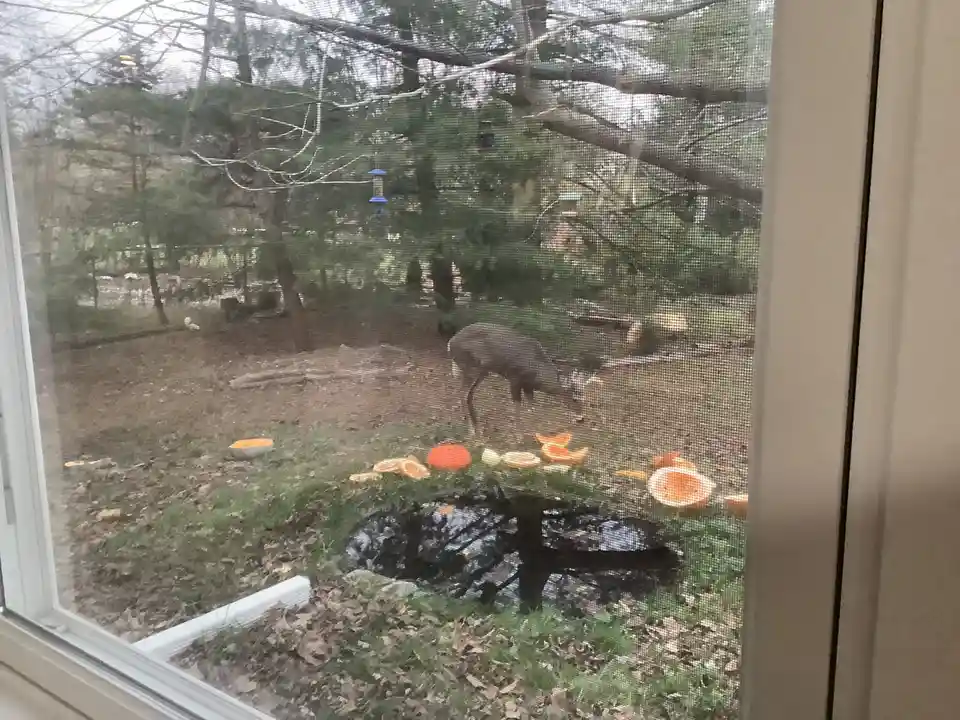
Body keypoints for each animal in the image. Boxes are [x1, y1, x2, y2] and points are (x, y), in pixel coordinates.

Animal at [447, 322, 603, 441]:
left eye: (584, 397)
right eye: (574, 399)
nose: (581, 419)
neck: (536, 369)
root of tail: (450, 343)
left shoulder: (528, 386)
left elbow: (532, 407)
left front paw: (537, 434)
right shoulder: (514, 379)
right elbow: (517, 406)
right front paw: (518, 436)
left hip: (482, 371)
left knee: (468, 394)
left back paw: (477, 428)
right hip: (470, 366)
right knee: (462, 393)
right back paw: (472, 431)